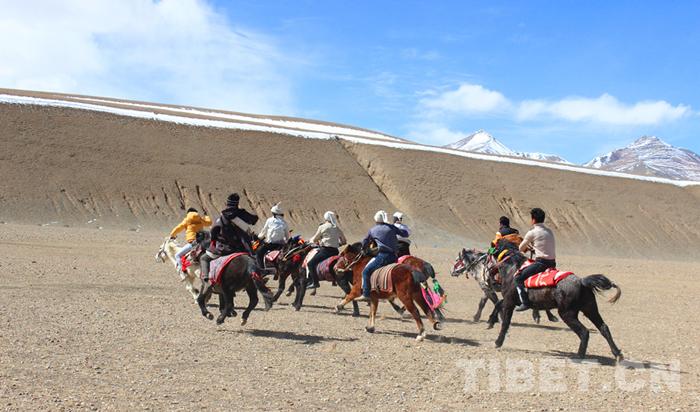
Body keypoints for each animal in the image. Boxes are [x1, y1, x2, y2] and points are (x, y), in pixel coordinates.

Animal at [462, 243, 620, 362]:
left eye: (487, 255)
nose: (485, 271)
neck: (512, 270)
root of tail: (582, 281)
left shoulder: (510, 302)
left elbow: (505, 321)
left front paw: (497, 342)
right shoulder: (510, 300)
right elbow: (498, 306)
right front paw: (491, 321)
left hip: (568, 314)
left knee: (584, 332)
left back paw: (579, 355)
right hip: (590, 309)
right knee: (604, 328)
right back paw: (618, 354)